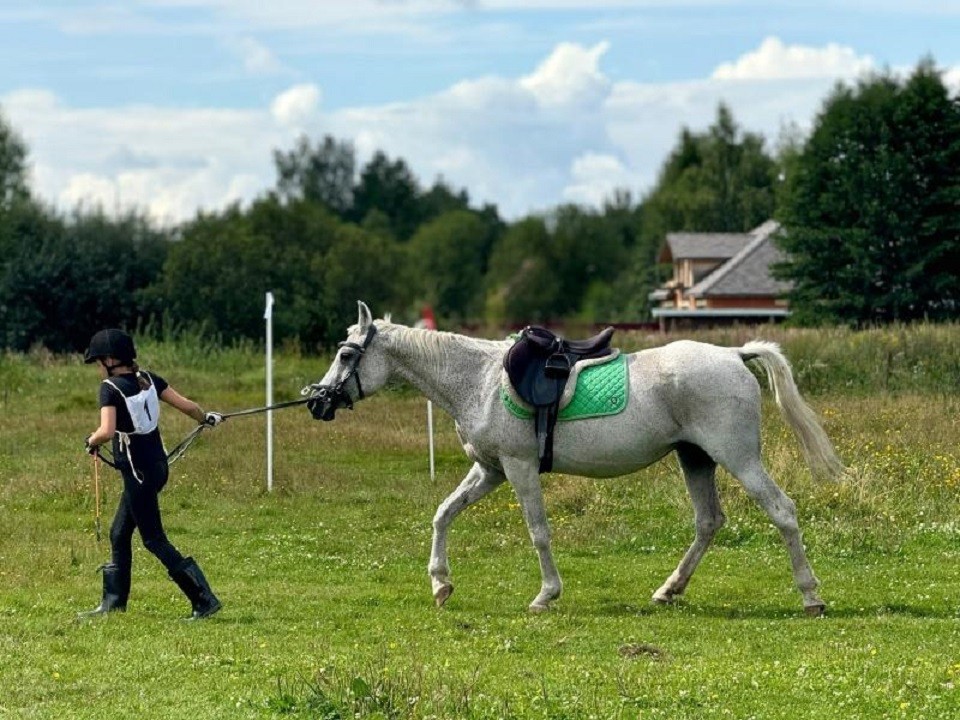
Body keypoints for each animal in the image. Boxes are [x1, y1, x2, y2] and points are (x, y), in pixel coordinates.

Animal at [308, 302, 840, 612]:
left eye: (347, 354)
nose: (316, 402)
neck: (478, 379)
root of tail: (734, 354)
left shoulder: (519, 468)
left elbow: (538, 532)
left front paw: (546, 595)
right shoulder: (490, 470)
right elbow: (443, 514)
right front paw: (441, 585)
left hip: (738, 458)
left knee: (782, 511)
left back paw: (811, 595)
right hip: (695, 459)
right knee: (709, 522)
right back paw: (668, 590)